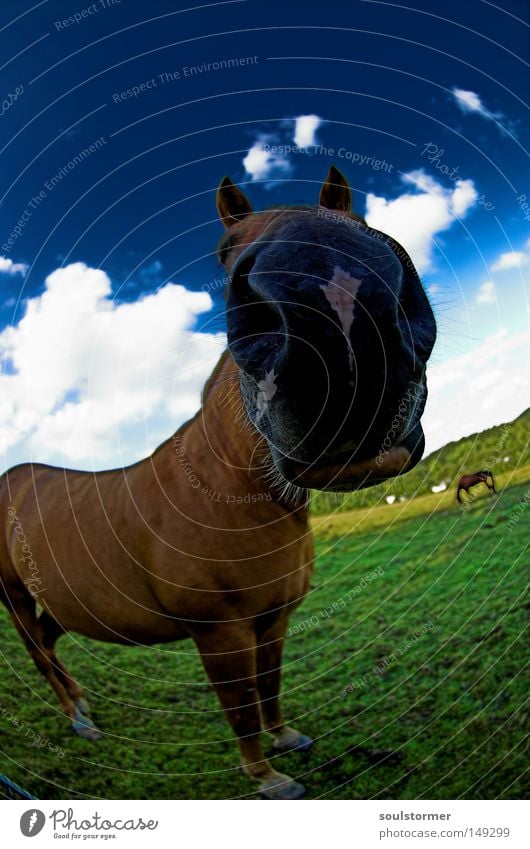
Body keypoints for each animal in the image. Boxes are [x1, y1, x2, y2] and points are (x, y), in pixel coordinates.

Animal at [0, 166, 436, 796]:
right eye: (225, 254)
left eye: (358, 221)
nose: (339, 311)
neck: (230, 491)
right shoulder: (220, 633)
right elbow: (241, 705)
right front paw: (267, 777)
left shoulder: (274, 618)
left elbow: (270, 686)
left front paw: (287, 739)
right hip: (13, 597)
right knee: (38, 654)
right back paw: (78, 721)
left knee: (52, 647)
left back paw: (82, 704)